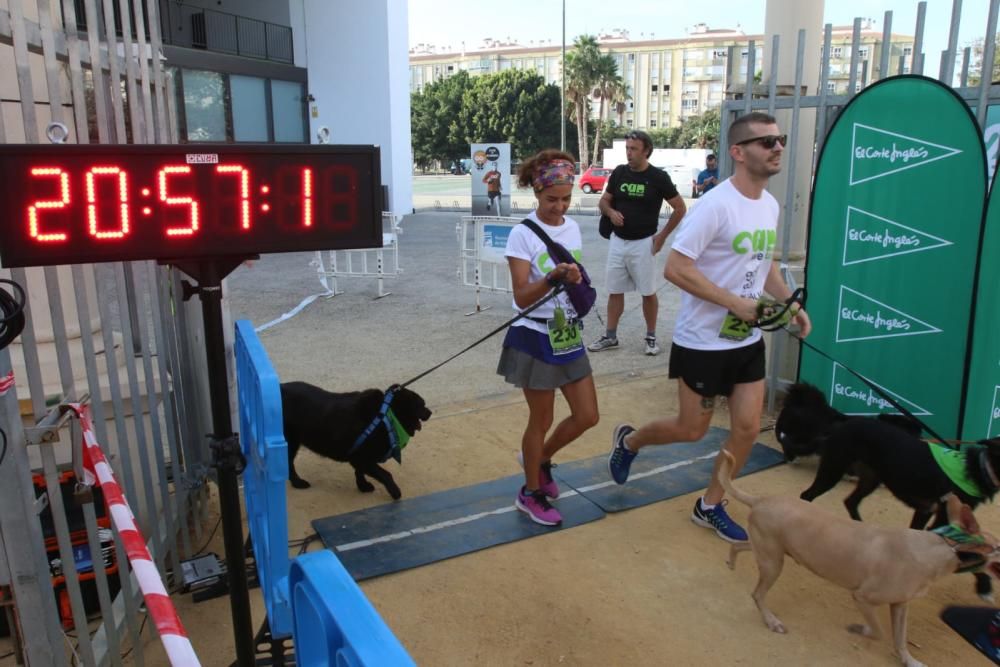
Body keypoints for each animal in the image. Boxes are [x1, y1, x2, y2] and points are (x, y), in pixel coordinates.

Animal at [284, 384, 436, 498]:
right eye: (421, 405)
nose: (430, 412)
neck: (387, 416)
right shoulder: (364, 459)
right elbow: (386, 475)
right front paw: (395, 491)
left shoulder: (359, 458)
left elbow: (359, 472)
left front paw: (363, 486)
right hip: (290, 443)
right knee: (289, 464)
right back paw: (298, 483)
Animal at [720, 452, 1000, 664]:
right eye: (999, 544)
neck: (939, 550)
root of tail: (761, 499)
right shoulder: (862, 598)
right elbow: (877, 632)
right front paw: (859, 629)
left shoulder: (901, 605)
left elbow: (900, 639)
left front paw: (909, 660)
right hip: (773, 563)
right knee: (757, 594)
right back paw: (771, 621)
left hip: (770, 552)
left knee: (739, 545)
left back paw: (731, 561)